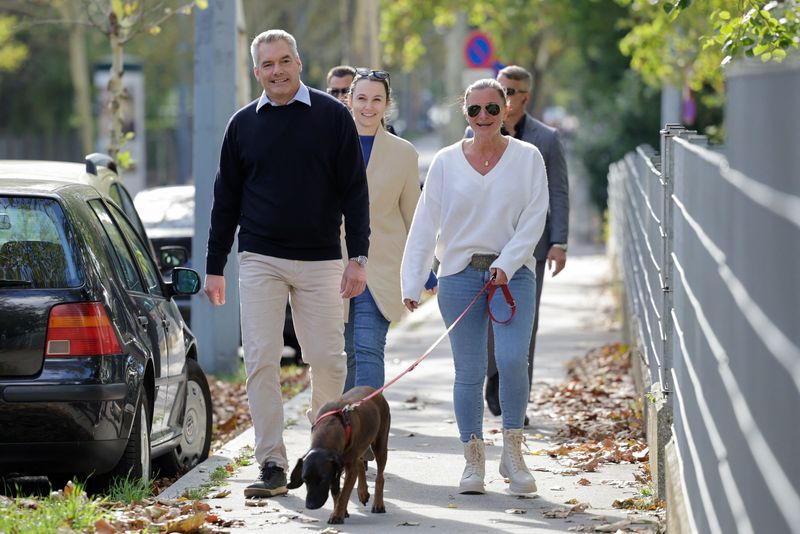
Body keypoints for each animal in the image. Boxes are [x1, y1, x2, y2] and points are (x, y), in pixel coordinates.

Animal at [290, 388, 392, 524]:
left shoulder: (345, 468)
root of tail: (374, 390)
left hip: (380, 444)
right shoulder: (336, 467)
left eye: (323, 479)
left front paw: (337, 515)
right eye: (305, 479)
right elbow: (336, 492)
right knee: (360, 463)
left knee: (379, 476)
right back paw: (362, 492)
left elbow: (344, 493)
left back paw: (378, 504)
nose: (310, 506)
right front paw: (341, 511)